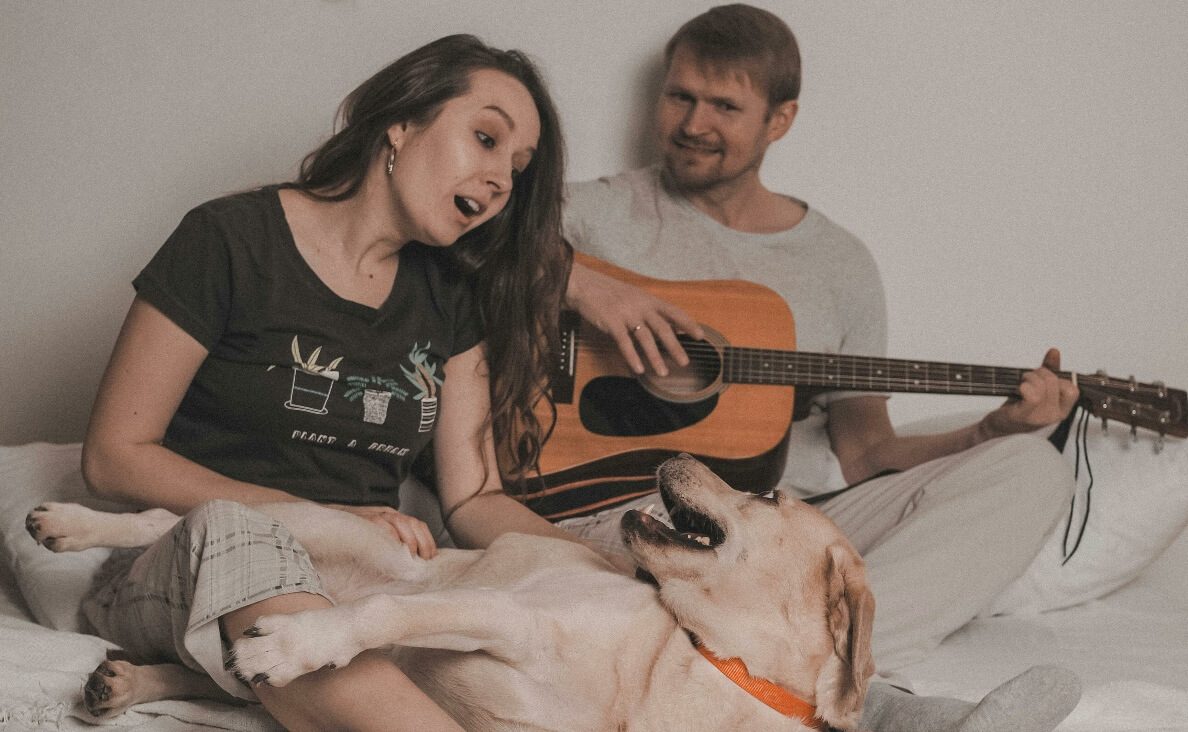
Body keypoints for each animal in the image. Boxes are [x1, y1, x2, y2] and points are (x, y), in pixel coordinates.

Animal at [25, 453, 874, 727]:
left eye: (769, 498)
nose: (677, 457)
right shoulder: (504, 614)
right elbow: (376, 615)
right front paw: (301, 643)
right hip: (314, 524)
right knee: (168, 517)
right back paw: (64, 523)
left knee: (209, 672)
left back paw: (125, 682)